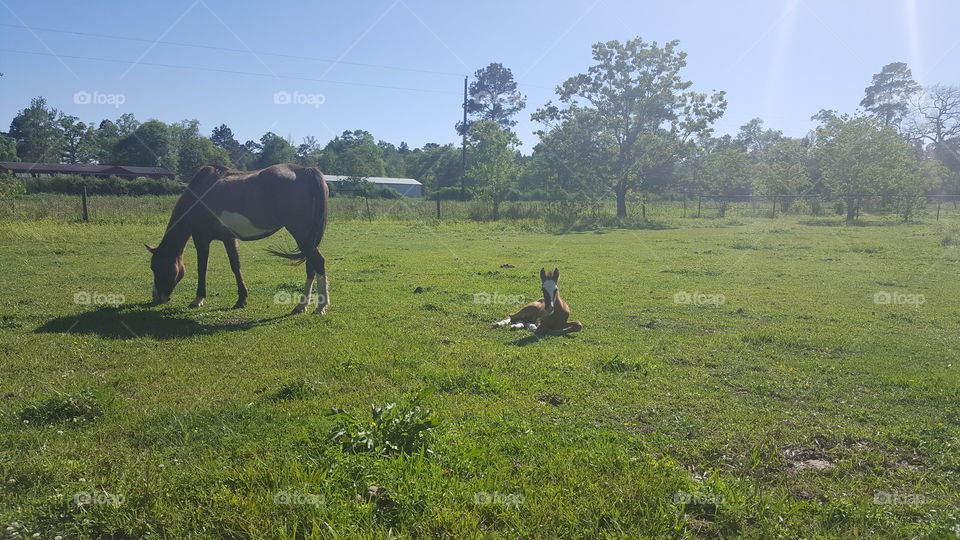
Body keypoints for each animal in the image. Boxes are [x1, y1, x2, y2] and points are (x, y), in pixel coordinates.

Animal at [146, 163, 330, 315]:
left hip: (301, 234)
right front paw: (242, 299)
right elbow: (235, 266)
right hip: (308, 237)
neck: (198, 194)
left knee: (318, 262)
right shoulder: (229, 238)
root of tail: (307, 171)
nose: (156, 297)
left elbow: (202, 267)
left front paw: (198, 299)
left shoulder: (201, 238)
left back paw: (320, 307)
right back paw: (301, 305)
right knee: (311, 266)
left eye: (156, 267)